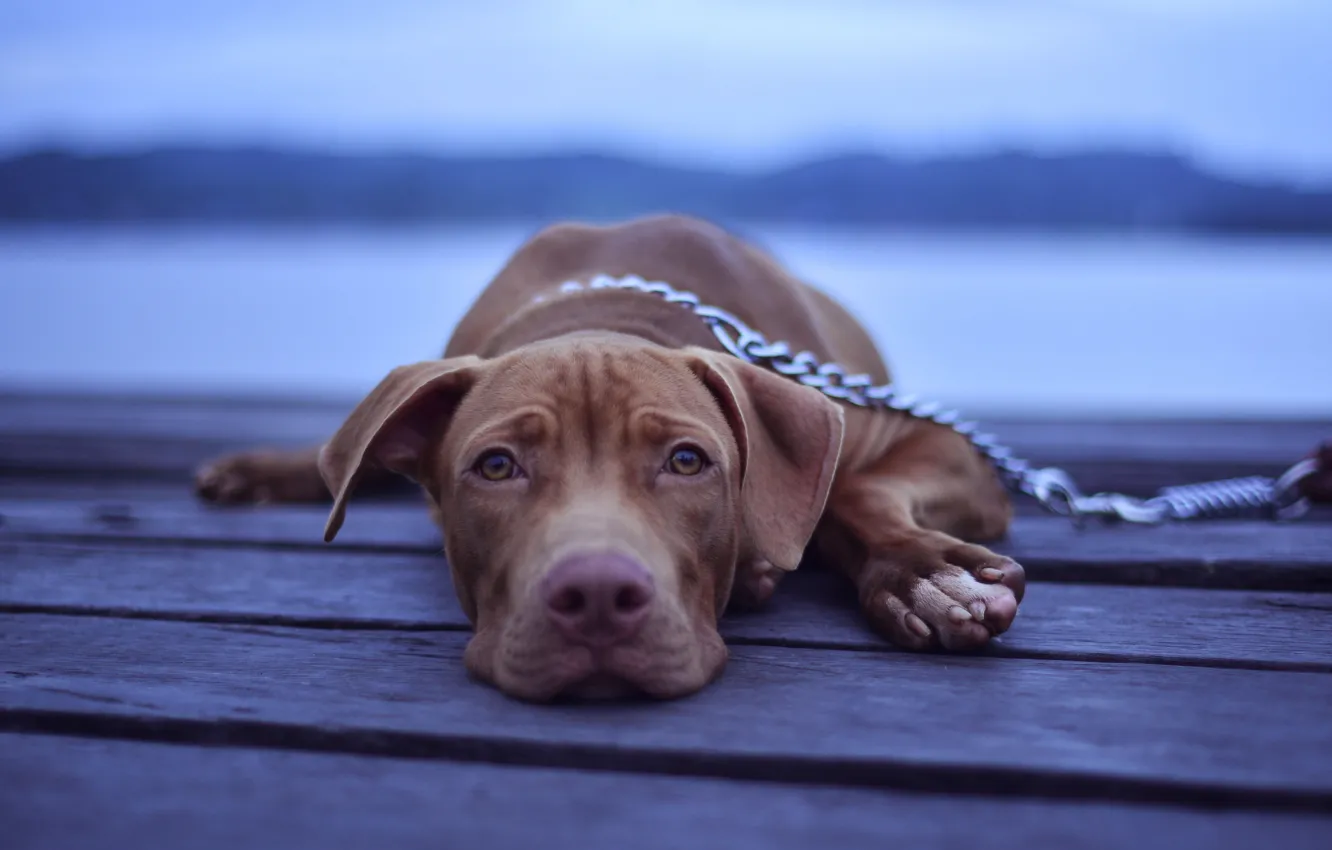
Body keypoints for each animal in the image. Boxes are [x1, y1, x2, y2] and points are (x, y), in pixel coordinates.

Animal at [197, 215, 1022, 703]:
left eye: (687, 462)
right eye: (495, 467)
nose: (596, 596)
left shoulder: (931, 442)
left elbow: (851, 497)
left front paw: (924, 577)